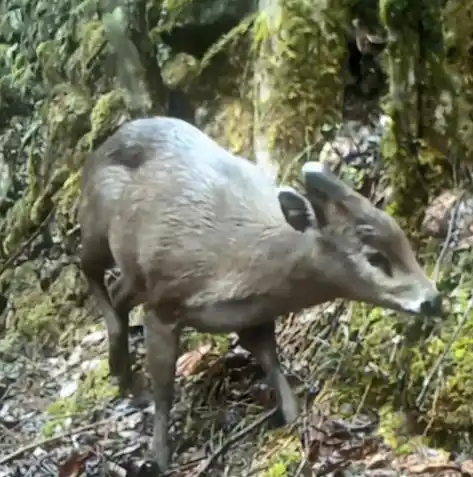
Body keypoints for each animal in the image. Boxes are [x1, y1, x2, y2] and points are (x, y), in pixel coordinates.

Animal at [78, 114, 442, 468]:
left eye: (401, 236)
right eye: (374, 257)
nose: (434, 300)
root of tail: (98, 152)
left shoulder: (252, 314)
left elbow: (270, 358)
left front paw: (294, 418)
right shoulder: (164, 300)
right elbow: (165, 387)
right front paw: (159, 456)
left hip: (130, 268)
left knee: (118, 291)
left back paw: (122, 371)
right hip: (98, 228)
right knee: (88, 267)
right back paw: (124, 373)